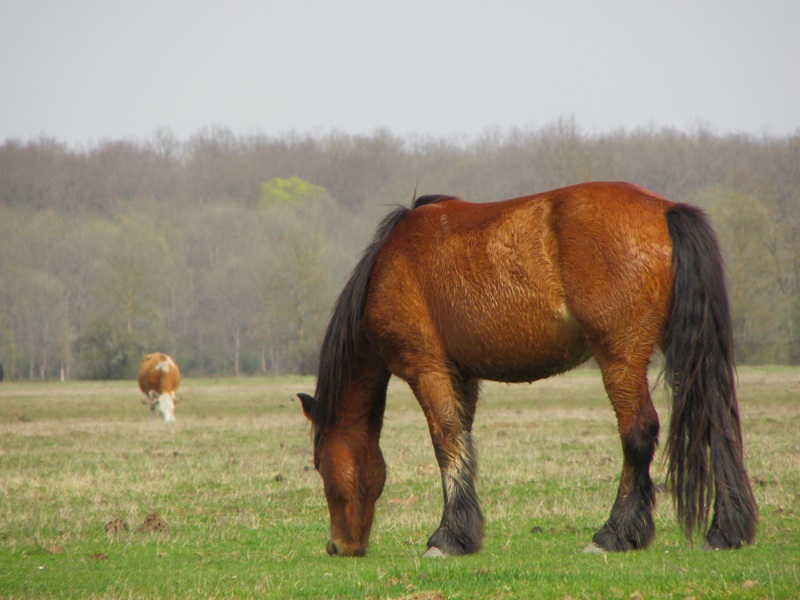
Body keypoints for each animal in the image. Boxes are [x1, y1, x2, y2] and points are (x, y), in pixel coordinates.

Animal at [298, 180, 756, 556]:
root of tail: (665, 210)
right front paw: (466, 533)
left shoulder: (427, 369)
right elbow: (464, 442)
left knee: (638, 432)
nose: (339, 546)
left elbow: (447, 443)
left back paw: (615, 534)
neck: (390, 263)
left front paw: (448, 538)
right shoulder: (463, 376)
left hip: (620, 358)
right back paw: (727, 530)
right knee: (715, 423)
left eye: (319, 464)